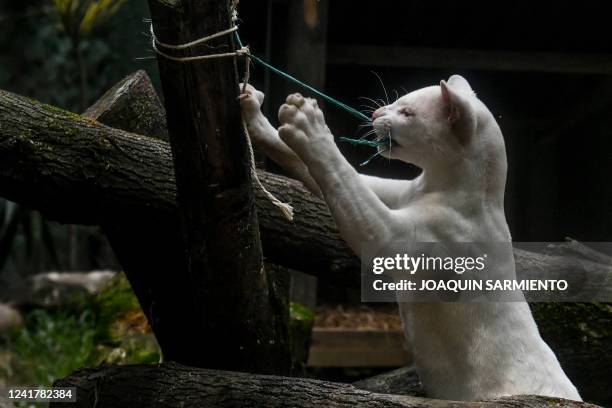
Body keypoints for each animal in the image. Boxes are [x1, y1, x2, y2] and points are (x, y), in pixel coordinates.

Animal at [238, 75, 580, 400]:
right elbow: (327, 173)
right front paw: (253, 109)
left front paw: (306, 122)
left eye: (406, 112)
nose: (375, 113)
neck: (437, 186)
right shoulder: (393, 195)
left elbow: (339, 173)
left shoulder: (389, 236)